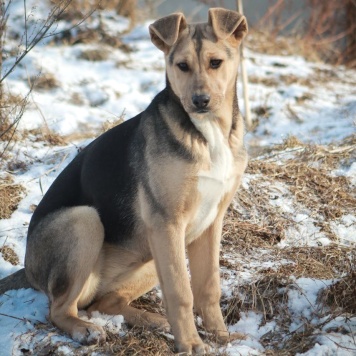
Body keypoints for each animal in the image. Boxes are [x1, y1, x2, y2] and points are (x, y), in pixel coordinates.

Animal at [0, 6, 249, 354]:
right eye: (181, 66)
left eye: (216, 63)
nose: (200, 101)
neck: (207, 133)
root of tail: (27, 267)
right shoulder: (167, 221)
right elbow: (181, 293)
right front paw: (190, 343)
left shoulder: (210, 223)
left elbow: (208, 286)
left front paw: (220, 336)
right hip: (85, 221)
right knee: (60, 309)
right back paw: (85, 331)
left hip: (152, 253)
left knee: (104, 301)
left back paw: (154, 321)